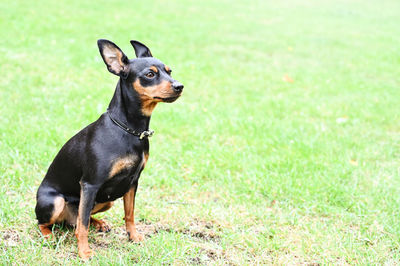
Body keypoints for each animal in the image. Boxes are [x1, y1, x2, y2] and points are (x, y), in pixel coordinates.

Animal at [35, 40, 184, 260]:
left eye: (169, 71)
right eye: (150, 74)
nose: (179, 86)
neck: (130, 130)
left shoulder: (132, 182)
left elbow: (129, 214)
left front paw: (134, 237)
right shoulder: (90, 184)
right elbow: (83, 225)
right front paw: (84, 252)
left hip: (106, 201)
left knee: (77, 220)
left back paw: (99, 223)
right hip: (56, 202)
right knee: (49, 222)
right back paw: (49, 236)